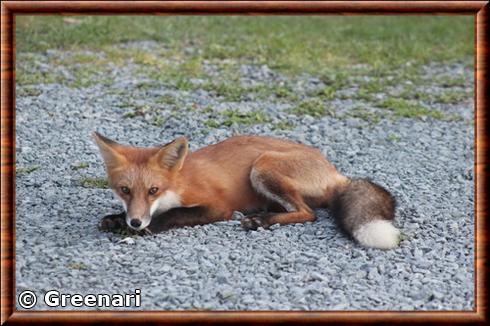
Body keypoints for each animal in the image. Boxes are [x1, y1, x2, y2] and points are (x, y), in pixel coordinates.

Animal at [94, 132, 400, 250]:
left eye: (153, 190)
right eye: (124, 190)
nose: (135, 222)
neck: (179, 183)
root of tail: (334, 171)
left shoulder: (218, 207)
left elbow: (175, 214)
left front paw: (145, 228)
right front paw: (117, 220)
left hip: (263, 166)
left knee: (307, 213)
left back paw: (261, 221)